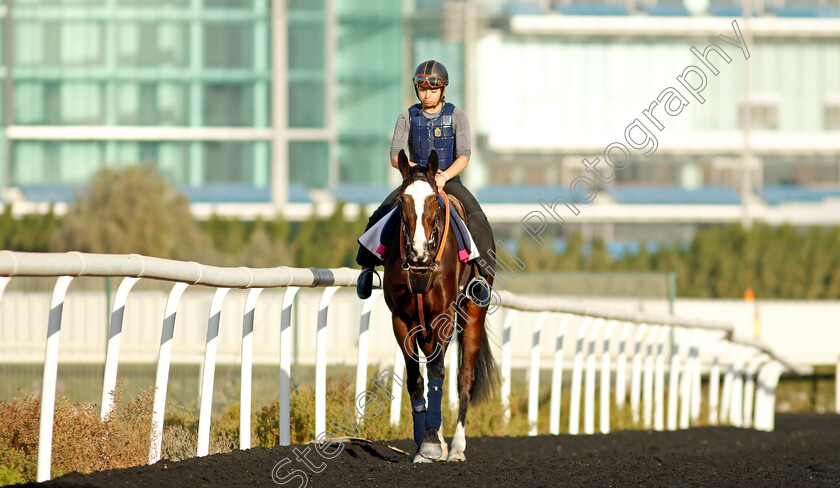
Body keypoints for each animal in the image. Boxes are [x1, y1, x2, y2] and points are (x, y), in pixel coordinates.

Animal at [382, 151, 498, 464]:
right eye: (402, 200)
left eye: (435, 199)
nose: (419, 252)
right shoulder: (401, 319)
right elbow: (415, 378)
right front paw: (424, 442)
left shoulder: (443, 316)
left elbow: (436, 372)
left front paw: (433, 442)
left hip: (472, 315)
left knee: (464, 380)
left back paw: (456, 447)